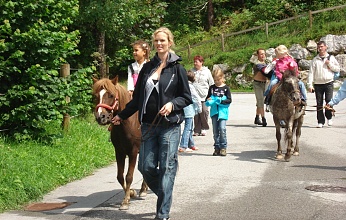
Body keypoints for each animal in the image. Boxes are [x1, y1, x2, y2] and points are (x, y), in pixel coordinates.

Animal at [92, 76, 147, 210]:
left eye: (111, 95)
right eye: (96, 95)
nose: (100, 117)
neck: (127, 123)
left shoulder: (133, 152)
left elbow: (129, 176)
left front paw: (125, 201)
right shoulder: (119, 152)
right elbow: (120, 176)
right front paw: (130, 193)